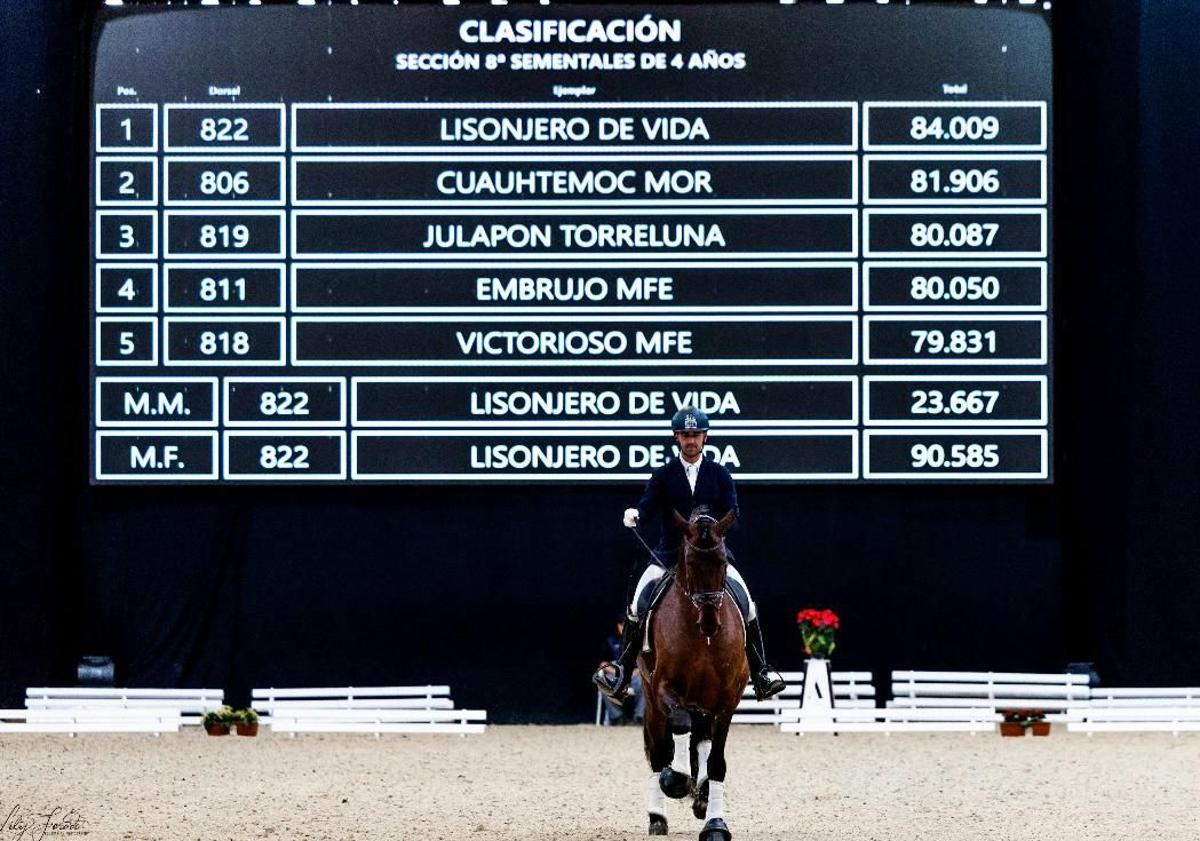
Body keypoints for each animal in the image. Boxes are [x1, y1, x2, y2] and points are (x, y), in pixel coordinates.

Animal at [643, 506, 744, 839]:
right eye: (689, 563)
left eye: (723, 562)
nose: (710, 622)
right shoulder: (663, 687)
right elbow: (678, 726)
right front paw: (676, 779)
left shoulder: (726, 701)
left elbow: (716, 763)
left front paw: (715, 824)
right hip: (652, 701)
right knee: (659, 751)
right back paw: (658, 816)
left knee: (701, 739)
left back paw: (701, 796)